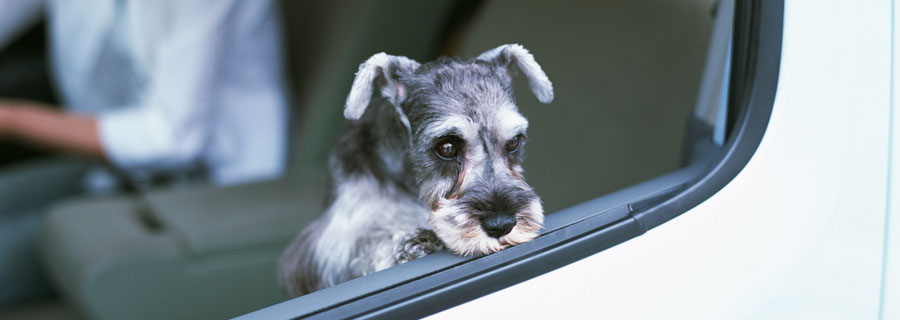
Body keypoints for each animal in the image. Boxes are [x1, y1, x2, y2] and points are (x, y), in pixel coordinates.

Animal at [278, 43, 552, 296]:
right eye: (447, 147)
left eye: (514, 142)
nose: (501, 224)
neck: (411, 182)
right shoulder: (327, 248)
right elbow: (366, 241)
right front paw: (412, 242)